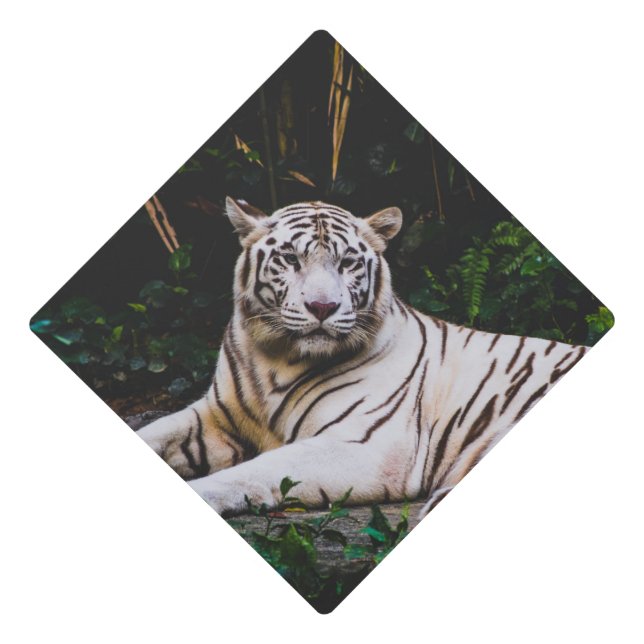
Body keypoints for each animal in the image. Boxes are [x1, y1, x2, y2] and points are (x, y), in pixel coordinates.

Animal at [136, 197, 588, 518]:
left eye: (347, 262)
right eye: (291, 259)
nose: (322, 307)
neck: (276, 359)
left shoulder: (366, 446)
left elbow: (255, 471)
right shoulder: (215, 416)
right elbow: (155, 433)